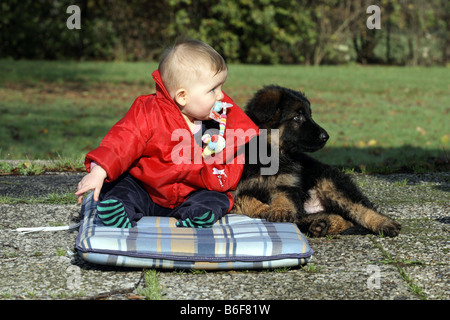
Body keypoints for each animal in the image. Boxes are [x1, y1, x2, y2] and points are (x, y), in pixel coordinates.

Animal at [232, 85, 400, 238]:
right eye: (297, 117)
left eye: (310, 115)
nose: (326, 137)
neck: (269, 154)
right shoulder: (233, 191)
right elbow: (244, 197)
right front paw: (264, 209)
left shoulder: (288, 185)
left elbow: (284, 197)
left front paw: (281, 209)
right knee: (334, 218)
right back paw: (321, 225)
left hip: (330, 184)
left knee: (359, 209)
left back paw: (384, 224)